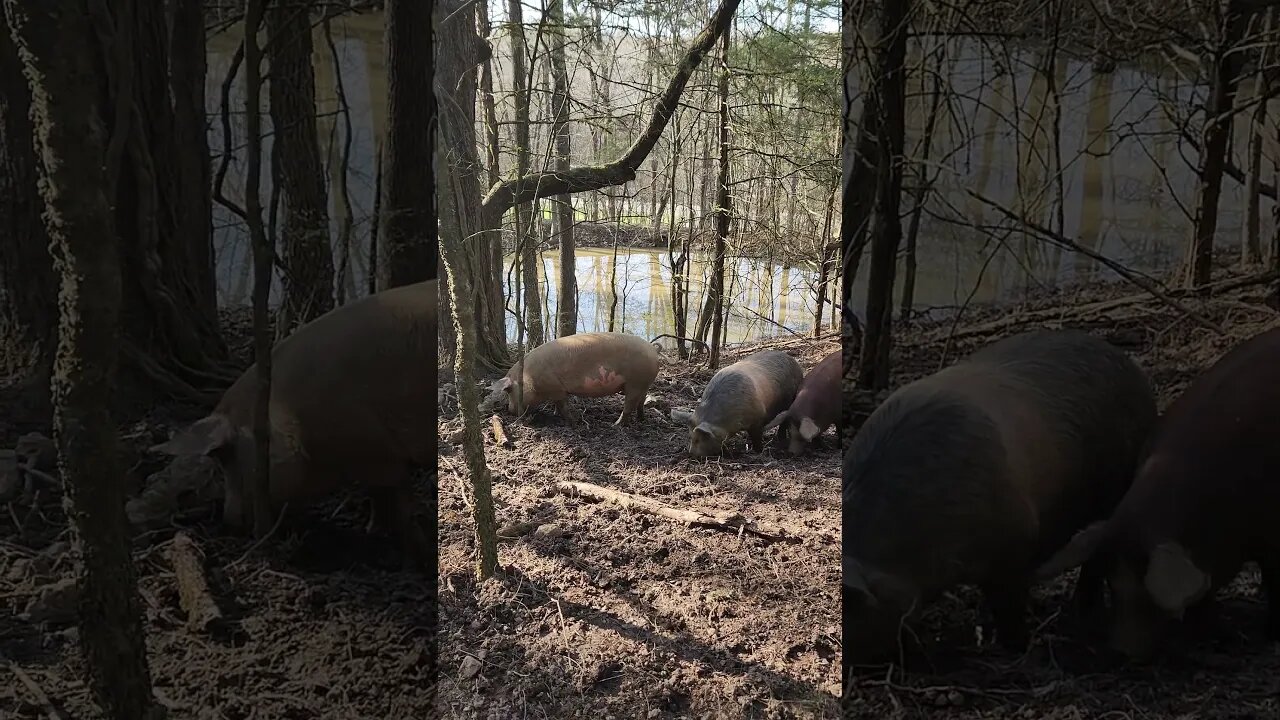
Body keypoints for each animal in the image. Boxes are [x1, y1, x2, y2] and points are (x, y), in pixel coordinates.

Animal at [149, 278, 437, 563]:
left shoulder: (375, 450)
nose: (229, 522)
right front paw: (373, 530)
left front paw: (418, 553)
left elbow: (400, 504)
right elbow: (378, 497)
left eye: (228, 458)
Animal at [481, 333, 660, 425]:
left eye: (509, 391)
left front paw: (572, 421)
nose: (510, 411)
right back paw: (640, 419)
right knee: (640, 402)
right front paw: (555, 414)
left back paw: (616, 425)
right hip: (644, 383)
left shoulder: (557, 388)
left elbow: (563, 406)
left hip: (636, 382)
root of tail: (652, 349)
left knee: (629, 405)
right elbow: (557, 405)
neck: (528, 377)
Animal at [675, 348, 803, 453]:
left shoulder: (758, 418)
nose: (691, 454)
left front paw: (758, 451)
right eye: (690, 437)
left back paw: (781, 439)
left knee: (784, 422)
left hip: (790, 400)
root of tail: (793, 361)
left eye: (699, 439)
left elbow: (757, 436)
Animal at [839, 327, 1162, 661]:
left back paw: (1083, 612)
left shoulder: (1017, 539)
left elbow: (1010, 603)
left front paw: (1014, 647)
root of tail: (1131, 367)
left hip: (1117, 486)